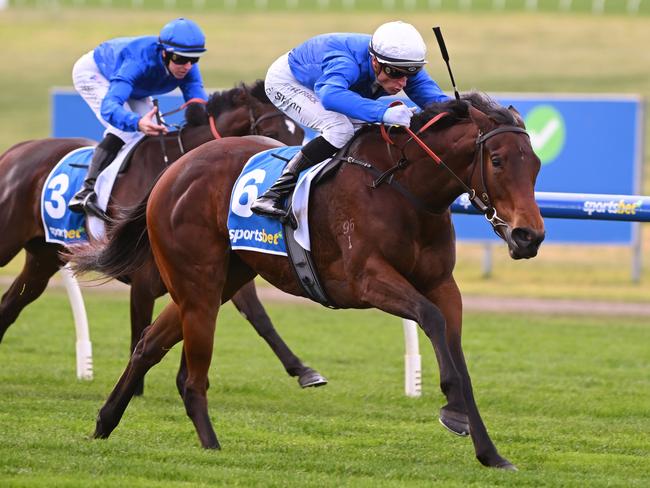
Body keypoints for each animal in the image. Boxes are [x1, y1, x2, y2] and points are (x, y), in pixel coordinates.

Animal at [0, 79, 324, 392]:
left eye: (301, 132)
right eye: (270, 131)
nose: (289, 177)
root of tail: (17, 150)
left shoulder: (220, 265)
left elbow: (259, 317)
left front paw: (304, 371)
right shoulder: (143, 280)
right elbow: (140, 331)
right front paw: (135, 389)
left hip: (42, 257)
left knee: (11, 303)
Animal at [71, 93, 544, 470]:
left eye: (536, 164)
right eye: (497, 161)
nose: (529, 236)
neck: (403, 190)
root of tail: (173, 171)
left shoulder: (445, 286)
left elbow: (457, 354)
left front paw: (489, 451)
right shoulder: (364, 281)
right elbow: (430, 320)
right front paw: (453, 410)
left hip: (221, 280)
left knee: (149, 344)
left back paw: (104, 424)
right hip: (198, 283)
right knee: (190, 374)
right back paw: (211, 446)